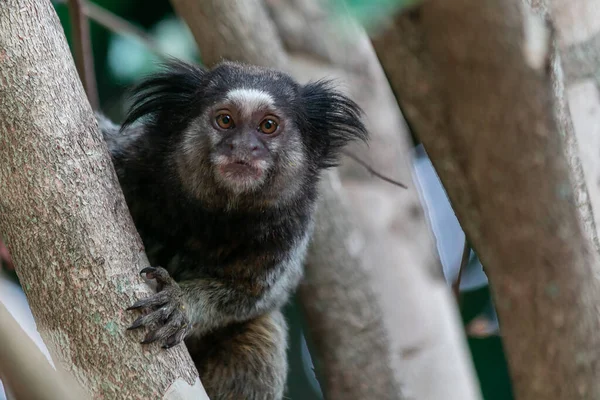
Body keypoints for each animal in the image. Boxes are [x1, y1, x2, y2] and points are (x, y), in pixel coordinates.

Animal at [99, 59, 366, 400]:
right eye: (225, 120)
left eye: (268, 125)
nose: (243, 147)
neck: (213, 218)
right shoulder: (132, 159)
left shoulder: (291, 231)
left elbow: (252, 296)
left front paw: (181, 302)